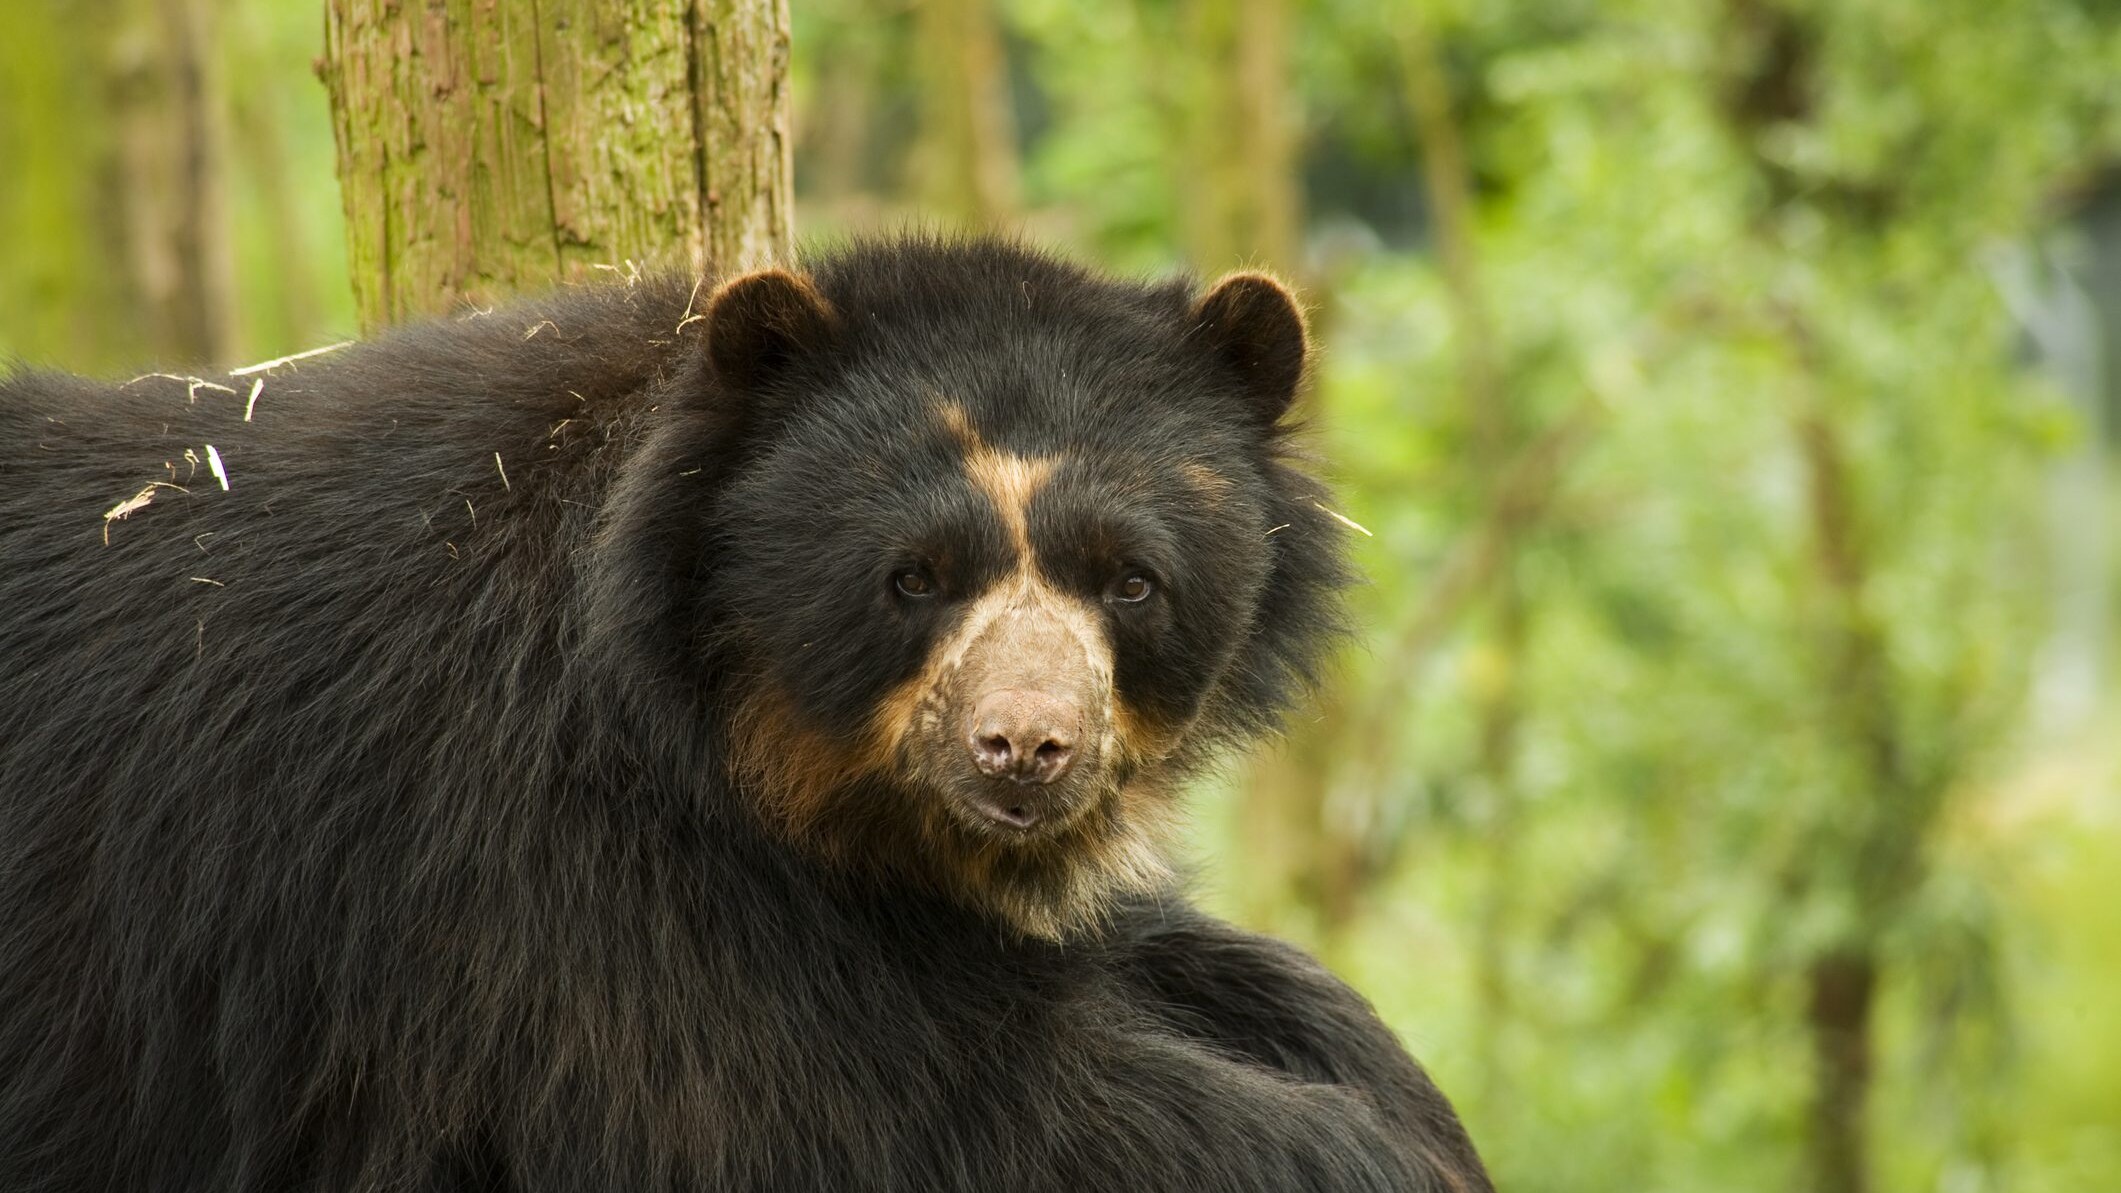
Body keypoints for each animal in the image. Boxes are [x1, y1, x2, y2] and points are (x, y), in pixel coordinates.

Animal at [0, 237, 1490, 1192]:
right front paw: (1380, 1154)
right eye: (913, 576)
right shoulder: (556, 888)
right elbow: (913, 1115)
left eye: (1129, 579)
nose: (1024, 748)